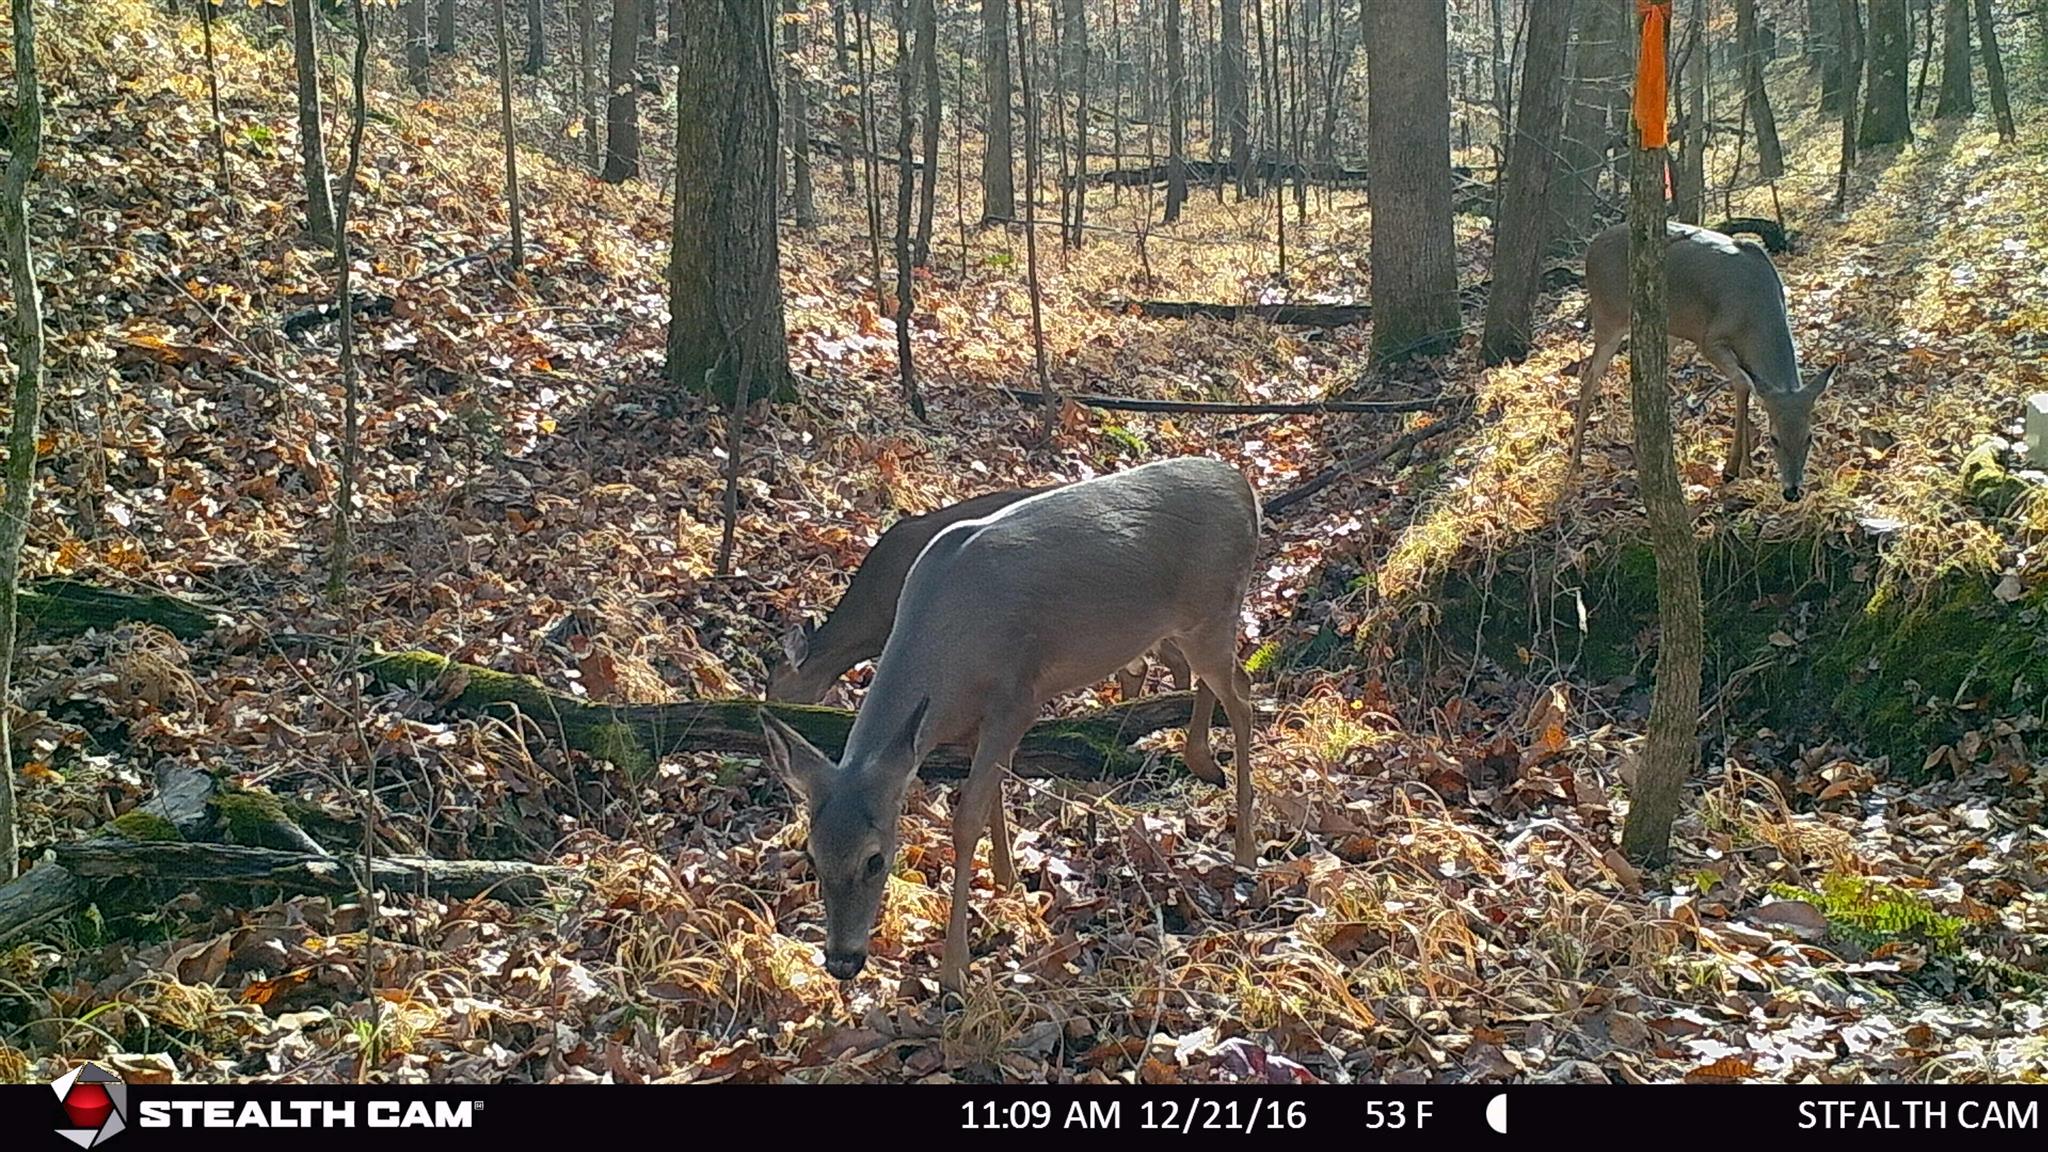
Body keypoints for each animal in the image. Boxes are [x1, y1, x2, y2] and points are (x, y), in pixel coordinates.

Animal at [1569, 221, 1835, 501]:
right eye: (1774, 439)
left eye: (1809, 437)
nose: (1792, 491)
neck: (1754, 316)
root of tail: (1591, 249)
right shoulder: (1709, 340)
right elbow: (1742, 383)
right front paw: (1737, 468)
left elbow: (1748, 388)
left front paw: (1741, 465)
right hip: (1608, 315)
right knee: (1588, 378)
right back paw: (1575, 462)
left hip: (1668, 329)